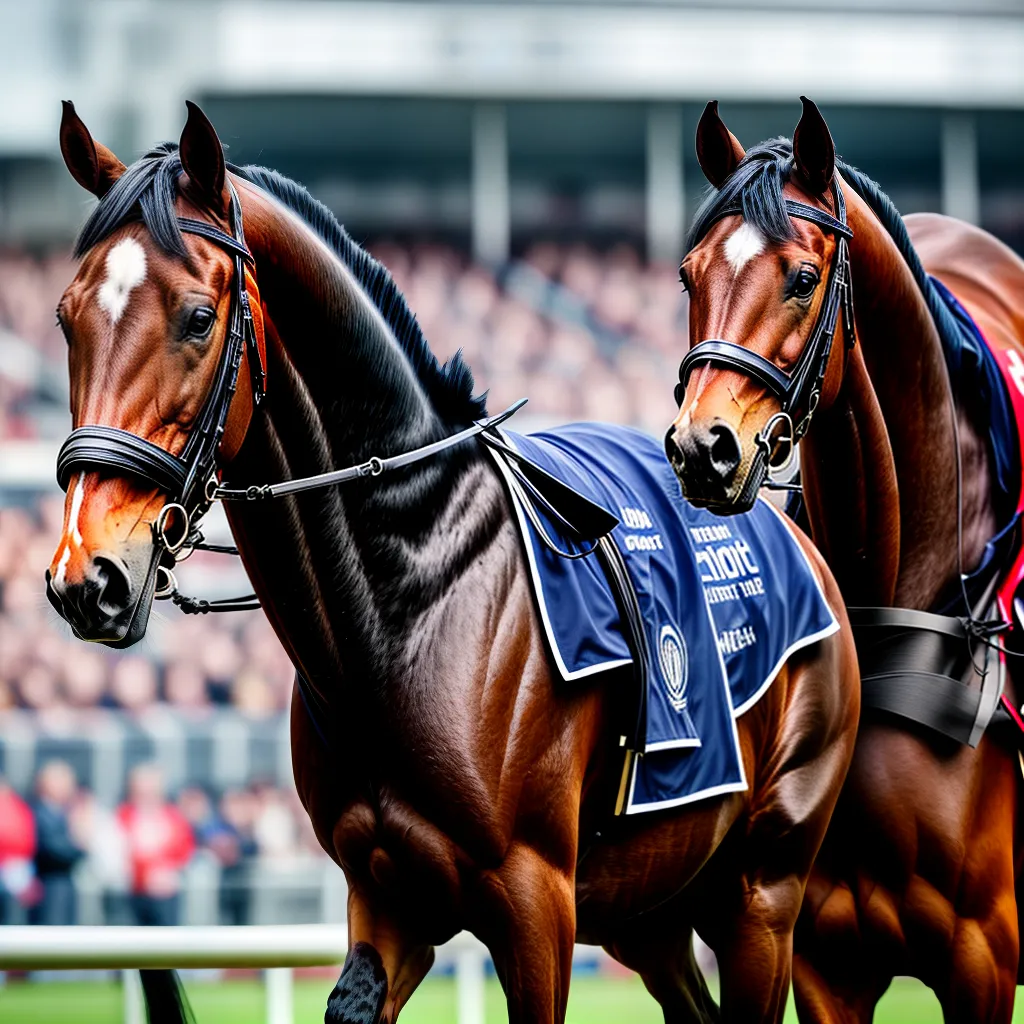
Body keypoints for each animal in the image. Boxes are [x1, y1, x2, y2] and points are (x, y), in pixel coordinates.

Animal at [45, 100, 859, 1024]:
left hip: (762, 892)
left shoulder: (534, 902)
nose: (87, 576)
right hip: (647, 902)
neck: (405, 606)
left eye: (195, 318)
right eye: (68, 318)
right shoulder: (386, 897)